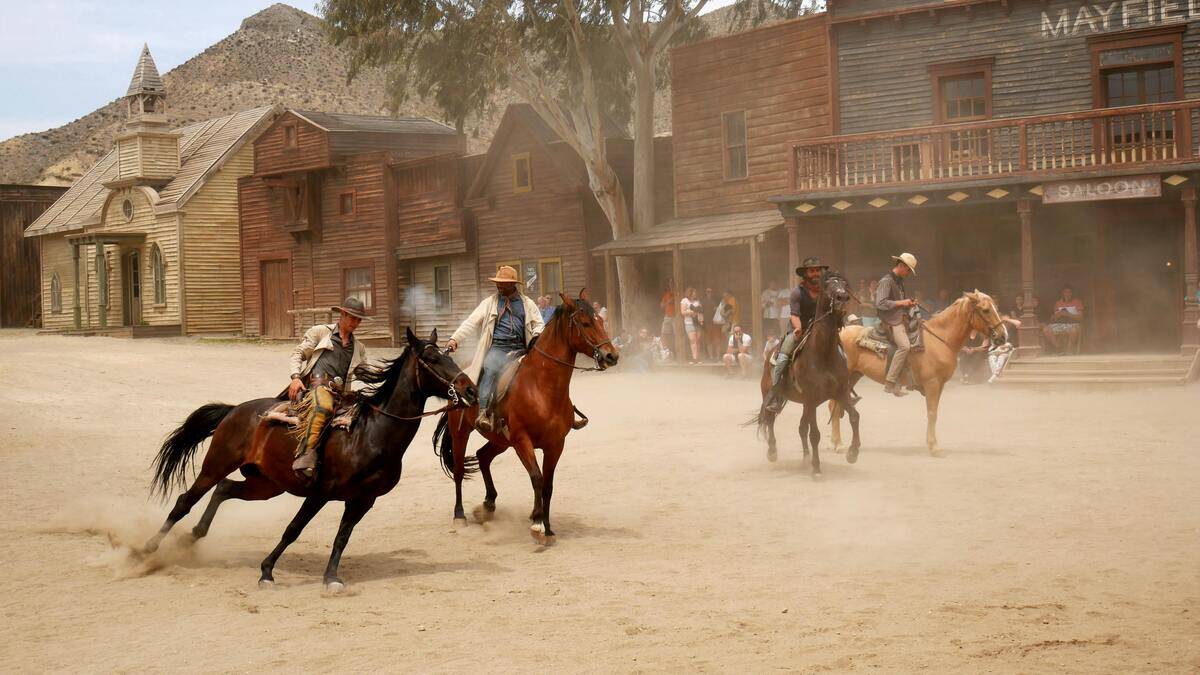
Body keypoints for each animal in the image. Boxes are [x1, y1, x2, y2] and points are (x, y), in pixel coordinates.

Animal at [144, 329, 472, 590]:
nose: (469, 388)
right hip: (216, 464)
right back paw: (147, 549)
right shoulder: (320, 492)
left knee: (225, 488)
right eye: (432, 359)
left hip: (266, 484)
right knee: (185, 501)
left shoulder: (362, 500)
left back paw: (193, 536)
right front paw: (266, 572)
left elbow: (342, 537)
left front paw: (331, 578)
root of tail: (235, 409)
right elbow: (294, 529)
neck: (371, 432)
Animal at [434, 291, 619, 542]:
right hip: (461, 431)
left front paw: (547, 527)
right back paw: (460, 515)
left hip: (500, 440)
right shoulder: (522, 441)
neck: (541, 388)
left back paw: (488, 505)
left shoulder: (555, 445)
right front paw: (537, 524)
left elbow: (548, 485)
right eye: (585, 323)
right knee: (461, 470)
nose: (612, 355)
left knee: (483, 456)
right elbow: (537, 478)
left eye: (600, 320)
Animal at [830, 290, 1008, 454]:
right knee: (836, 406)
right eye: (985, 310)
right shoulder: (932, 384)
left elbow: (934, 412)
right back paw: (838, 445)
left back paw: (835, 442)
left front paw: (931, 444)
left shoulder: (940, 385)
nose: (1003, 336)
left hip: (853, 376)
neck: (939, 340)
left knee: (835, 405)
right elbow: (932, 413)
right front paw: (934, 447)